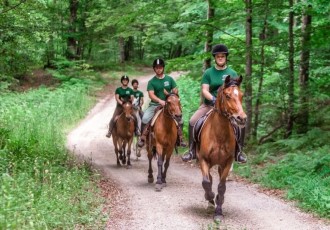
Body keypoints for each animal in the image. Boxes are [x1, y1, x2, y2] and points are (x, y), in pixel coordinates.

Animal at [197, 75, 246, 221]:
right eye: (228, 95)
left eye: (241, 95)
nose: (242, 118)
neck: (219, 134)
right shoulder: (203, 160)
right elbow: (206, 182)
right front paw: (210, 197)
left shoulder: (227, 162)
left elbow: (221, 186)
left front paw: (218, 211)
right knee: (209, 179)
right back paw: (210, 202)